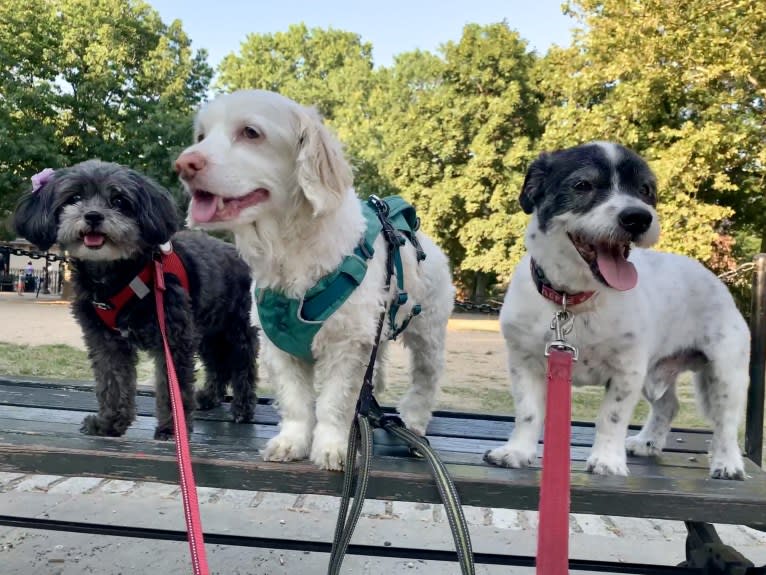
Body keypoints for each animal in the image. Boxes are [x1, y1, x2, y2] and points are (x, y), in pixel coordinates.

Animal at [13, 160, 260, 438]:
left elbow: (172, 386)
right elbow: (112, 381)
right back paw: (208, 397)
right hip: (208, 329)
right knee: (217, 364)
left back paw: (242, 408)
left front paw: (172, 429)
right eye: (74, 198)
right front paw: (109, 423)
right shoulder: (106, 340)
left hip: (236, 327)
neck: (117, 275)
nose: (93, 216)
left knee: (243, 364)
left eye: (119, 200)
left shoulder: (173, 338)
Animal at [172, 89, 456, 468]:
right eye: (201, 136)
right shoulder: (280, 347)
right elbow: (296, 403)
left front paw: (332, 448)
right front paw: (291, 442)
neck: (290, 250)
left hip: (428, 333)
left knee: (426, 380)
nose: (184, 164)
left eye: (250, 132)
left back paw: (414, 423)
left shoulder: (348, 345)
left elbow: (334, 403)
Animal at [486, 142, 752, 480]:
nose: (638, 217)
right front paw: (518, 452)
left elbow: (610, 418)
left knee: (726, 424)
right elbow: (528, 413)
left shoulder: (627, 371)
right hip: (657, 373)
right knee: (669, 406)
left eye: (645, 190)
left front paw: (607, 460)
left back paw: (727, 462)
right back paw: (647, 442)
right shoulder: (525, 364)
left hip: (726, 374)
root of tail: (716, 280)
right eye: (582, 185)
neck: (575, 301)